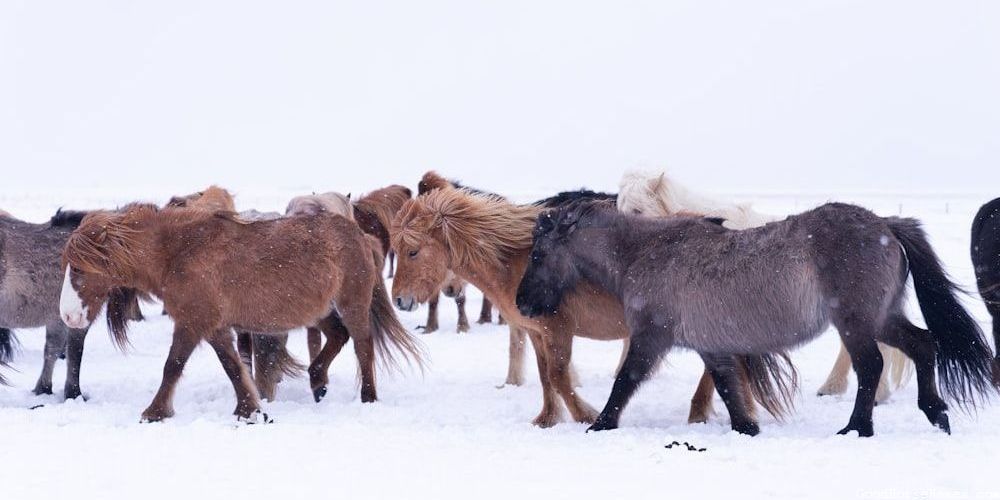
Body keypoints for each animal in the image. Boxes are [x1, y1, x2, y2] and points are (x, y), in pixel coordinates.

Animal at [60, 203, 424, 421]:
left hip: (352, 304)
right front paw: (249, 409)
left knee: (363, 346)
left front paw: (154, 412)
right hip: (320, 311)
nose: (68, 317)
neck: (176, 251)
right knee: (338, 336)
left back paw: (367, 397)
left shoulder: (192, 323)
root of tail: (361, 236)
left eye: (77, 268)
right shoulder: (214, 327)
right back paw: (318, 382)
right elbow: (233, 367)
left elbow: (172, 366)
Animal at [391, 186, 795, 432]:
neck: (515, 262)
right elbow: (545, 377)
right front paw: (547, 419)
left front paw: (584, 414)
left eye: (413, 251)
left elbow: (559, 377)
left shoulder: (558, 330)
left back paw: (703, 413)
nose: (400, 301)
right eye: (394, 250)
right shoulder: (536, 333)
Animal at [516, 200, 996, 436]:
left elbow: (625, 381)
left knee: (871, 366)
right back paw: (936, 414)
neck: (647, 252)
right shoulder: (712, 348)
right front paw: (748, 430)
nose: (522, 304)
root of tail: (885, 224)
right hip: (882, 319)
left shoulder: (652, 338)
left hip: (856, 323)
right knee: (923, 345)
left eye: (538, 256)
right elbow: (730, 391)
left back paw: (858, 428)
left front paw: (600, 424)